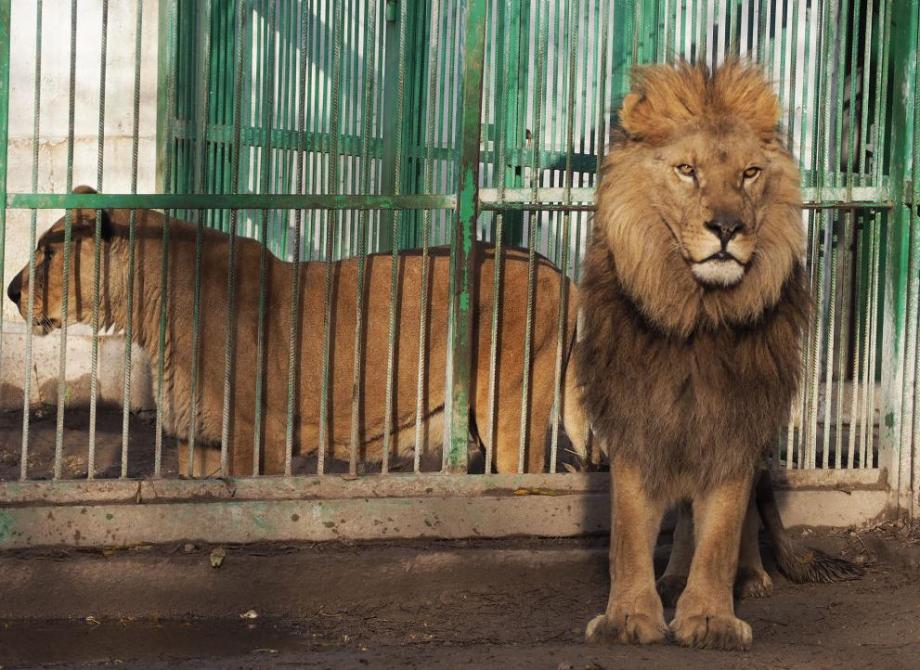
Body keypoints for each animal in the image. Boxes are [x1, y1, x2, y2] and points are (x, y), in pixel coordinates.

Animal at [9, 189, 576, 480]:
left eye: (48, 250)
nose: (12, 291)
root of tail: (561, 273)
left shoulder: (255, 439)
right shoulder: (199, 440)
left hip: (511, 415)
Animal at [580, 61, 816, 652]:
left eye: (750, 173)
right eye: (687, 170)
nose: (728, 228)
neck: (697, 314)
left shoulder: (735, 414)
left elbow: (724, 525)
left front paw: (711, 617)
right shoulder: (637, 411)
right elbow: (629, 530)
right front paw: (628, 617)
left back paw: (748, 577)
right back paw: (673, 577)